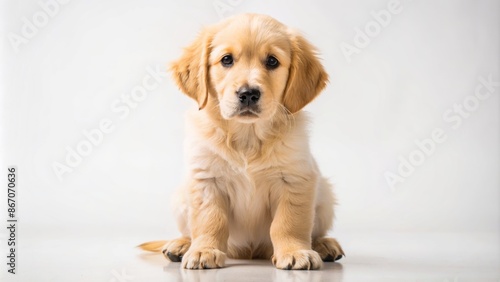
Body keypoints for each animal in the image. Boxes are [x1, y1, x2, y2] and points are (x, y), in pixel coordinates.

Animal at [141, 13, 344, 270]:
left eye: (272, 61)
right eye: (226, 60)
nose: (248, 93)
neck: (248, 137)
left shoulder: (296, 178)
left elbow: (289, 222)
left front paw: (296, 252)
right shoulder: (206, 179)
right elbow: (210, 220)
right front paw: (204, 250)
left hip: (325, 194)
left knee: (315, 230)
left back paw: (324, 244)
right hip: (181, 195)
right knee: (189, 230)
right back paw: (181, 245)